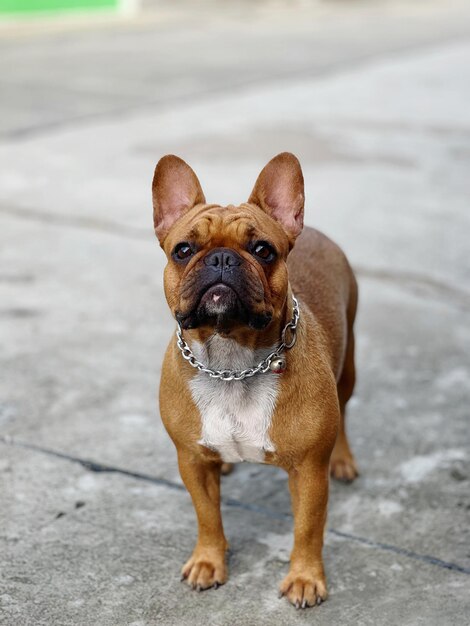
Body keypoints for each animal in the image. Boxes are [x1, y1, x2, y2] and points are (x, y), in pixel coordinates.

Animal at [152, 154, 358, 608]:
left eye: (263, 250)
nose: (221, 259)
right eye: (183, 250)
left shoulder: (308, 472)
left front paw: (305, 578)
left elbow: (307, 528)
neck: (232, 362)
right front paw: (209, 561)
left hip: (349, 367)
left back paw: (343, 459)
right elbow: (207, 516)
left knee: (346, 409)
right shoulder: (191, 461)